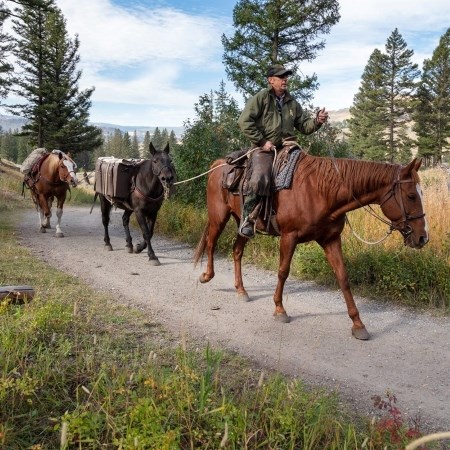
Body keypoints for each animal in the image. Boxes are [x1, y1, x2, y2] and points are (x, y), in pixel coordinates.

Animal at [193, 153, 428, 340]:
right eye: (411, 195)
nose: (422, 238)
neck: (321, 191)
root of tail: (219, 165)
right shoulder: (289, 237)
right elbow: (283, 272)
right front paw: (280, 310)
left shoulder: (331, 240)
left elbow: (343, 278)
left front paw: (358, 324)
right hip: (218, 217)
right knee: (211, 243)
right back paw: (206, 275)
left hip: (244, 225)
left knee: (237, 249)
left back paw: (241, 290)